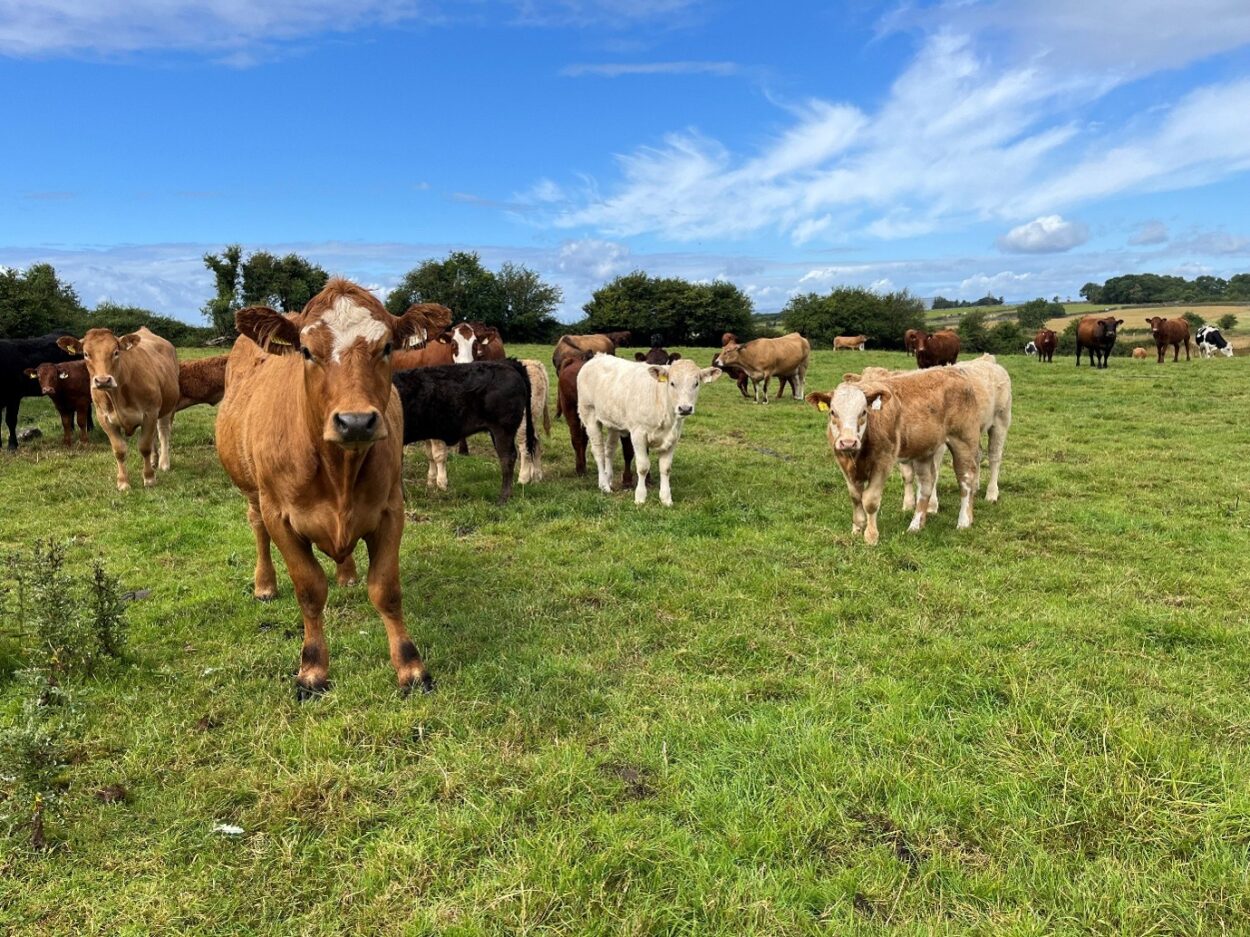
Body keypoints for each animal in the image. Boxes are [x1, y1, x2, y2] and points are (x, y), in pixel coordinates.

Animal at [57, 327, 178, 490]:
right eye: (86, 354)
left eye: (115, 352)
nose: (103, 380)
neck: (118, 395)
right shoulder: (104, 418)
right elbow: (119, 450)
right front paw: (123, 482)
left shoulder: (150, 412)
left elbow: (144, 446)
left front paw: (149, 478)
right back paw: (154, 460)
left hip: (168, 406)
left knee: (163, 432)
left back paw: (164, 463)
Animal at [215, 279, 451, 697]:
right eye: (307, 351)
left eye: (386, 347)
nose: (355, 421)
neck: (339, 471)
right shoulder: (280, 516)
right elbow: (309, 590)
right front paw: (312, 669)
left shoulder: (391, 509)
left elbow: (386, 590)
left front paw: (411, 666)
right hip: (251, 492)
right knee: (256, 527)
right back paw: (265, 585)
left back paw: (347, 573)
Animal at [556, 351, 635, 486]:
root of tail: (573, 360)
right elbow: (628, 450)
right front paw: (627, 480)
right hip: (571, 410)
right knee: (576, 439)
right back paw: (580, 468)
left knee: (583, 439)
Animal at [577, 355, 721, 506]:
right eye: (672, 383)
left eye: (696, 383)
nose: (685, 408)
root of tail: (598, 356)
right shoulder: (638, 434)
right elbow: (643, 467)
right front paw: (640, 497)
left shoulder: (673, 437)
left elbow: (666, 468)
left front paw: (666, 498)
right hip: (589, 414)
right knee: (598, 450)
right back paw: (604, 485)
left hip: (613, 422)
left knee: (609, 450)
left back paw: (608, 478)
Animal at [805, 367, 982, 545]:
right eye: (832, 412)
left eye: (863, 412)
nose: (848, 442)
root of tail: (953, 371)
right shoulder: (843, 463)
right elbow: (855, 496)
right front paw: (857, 529)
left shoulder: (883, 462)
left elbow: (870, 500)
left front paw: (871, 536)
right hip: (924, 450)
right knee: (926, 484)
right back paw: (915, 525)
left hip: (963, 440)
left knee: (966, 479)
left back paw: (963, 522)